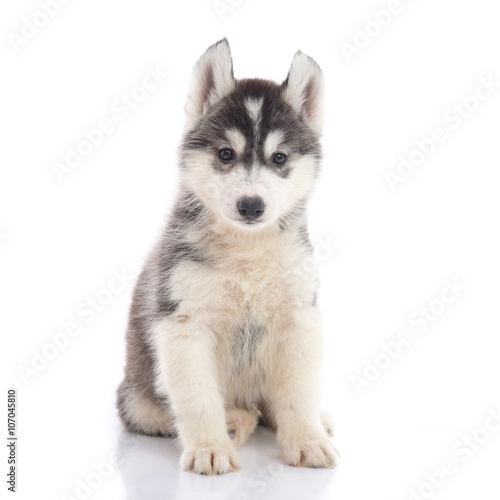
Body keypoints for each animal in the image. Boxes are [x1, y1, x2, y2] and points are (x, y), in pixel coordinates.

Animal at [117, 37, 338, 474]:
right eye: (224, 154)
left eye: (280, 158)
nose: (251, 205)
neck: (247, 253)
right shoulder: (183, 325)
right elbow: (197, 398)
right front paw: (210, 448)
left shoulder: (299, 318)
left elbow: (298, 390)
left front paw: (306, 439)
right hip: (136, 399)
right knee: (166, 411)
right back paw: (235, 421)